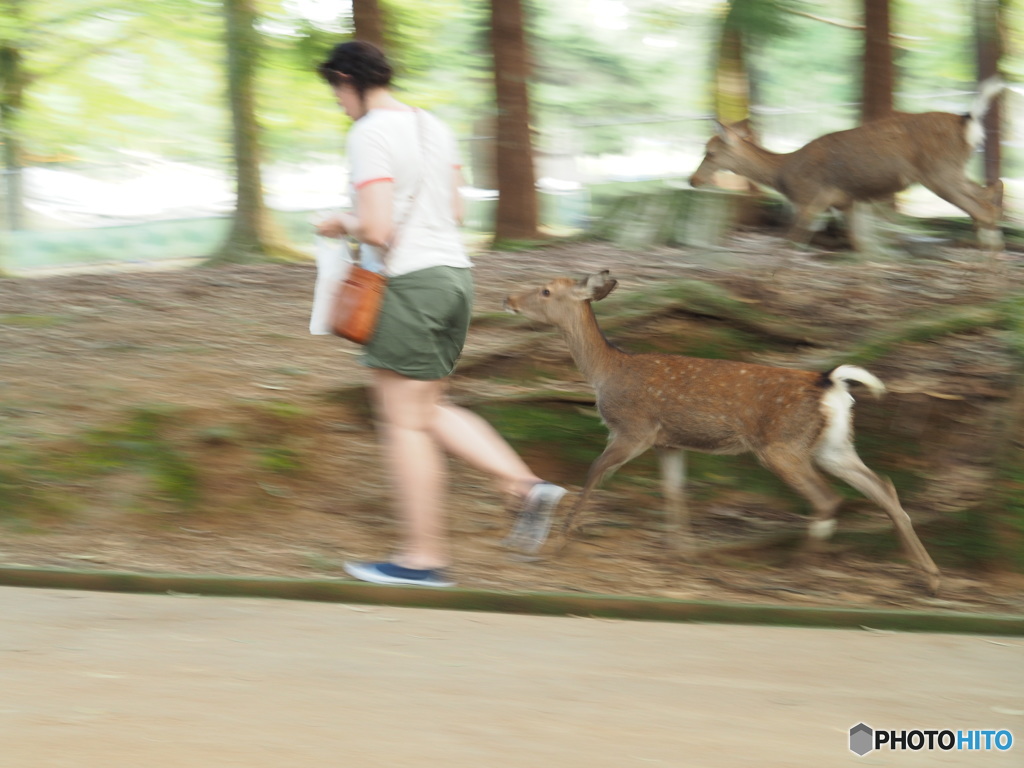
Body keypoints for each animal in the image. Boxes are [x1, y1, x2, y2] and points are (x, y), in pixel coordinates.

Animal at [503, 274, 942, 598]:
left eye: (546, 289)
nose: (508, 298)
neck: (607, 372)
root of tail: (832, 383)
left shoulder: (634, 428)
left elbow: (594, 471)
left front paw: (561, 543)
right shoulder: (668, 442)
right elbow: (674, 491)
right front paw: (682, 556)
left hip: (781, 446)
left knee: (828, 498)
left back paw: (798, 575)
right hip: (832, 446)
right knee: (883, 489)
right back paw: (931, 577)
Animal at [692, 77, 1003, 249]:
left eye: (710, 152)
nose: (693, 180)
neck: (784, 174)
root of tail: (967, 122)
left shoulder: (809, 198)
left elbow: (791, 242)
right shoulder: (846, 201)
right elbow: (858, 243)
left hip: (939, 172)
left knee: (983, 210)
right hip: (952, 170)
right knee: (991, 193)